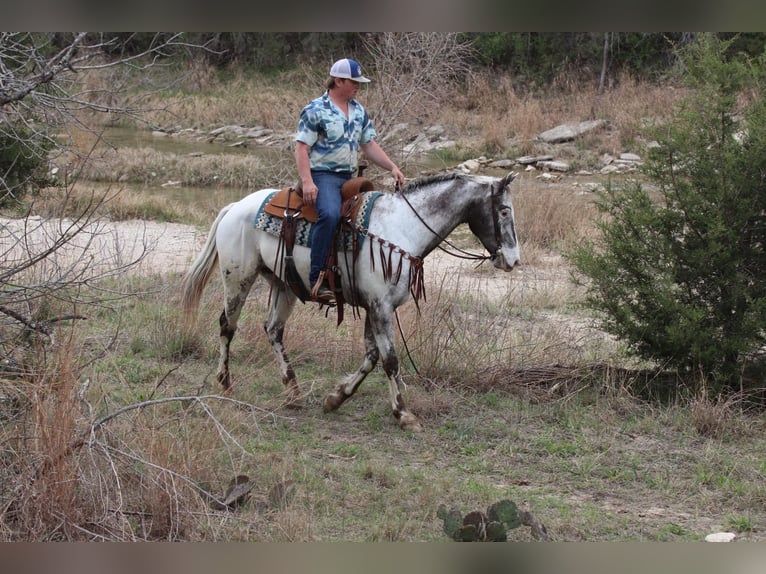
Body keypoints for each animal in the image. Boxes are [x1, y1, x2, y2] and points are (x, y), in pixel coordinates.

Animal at [181, 171, 520, 431]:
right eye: (504, 211)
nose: (513, 261)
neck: (401, 228)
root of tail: (236, 206)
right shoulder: (381, 306)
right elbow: (390, 359)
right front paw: (403, 413)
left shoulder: (374, 306)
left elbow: (371, 357)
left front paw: (337, 397)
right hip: (238, 278)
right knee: (227, 326)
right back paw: (226, 383)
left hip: (283, 284)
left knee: (273, 330)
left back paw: (293, 391)